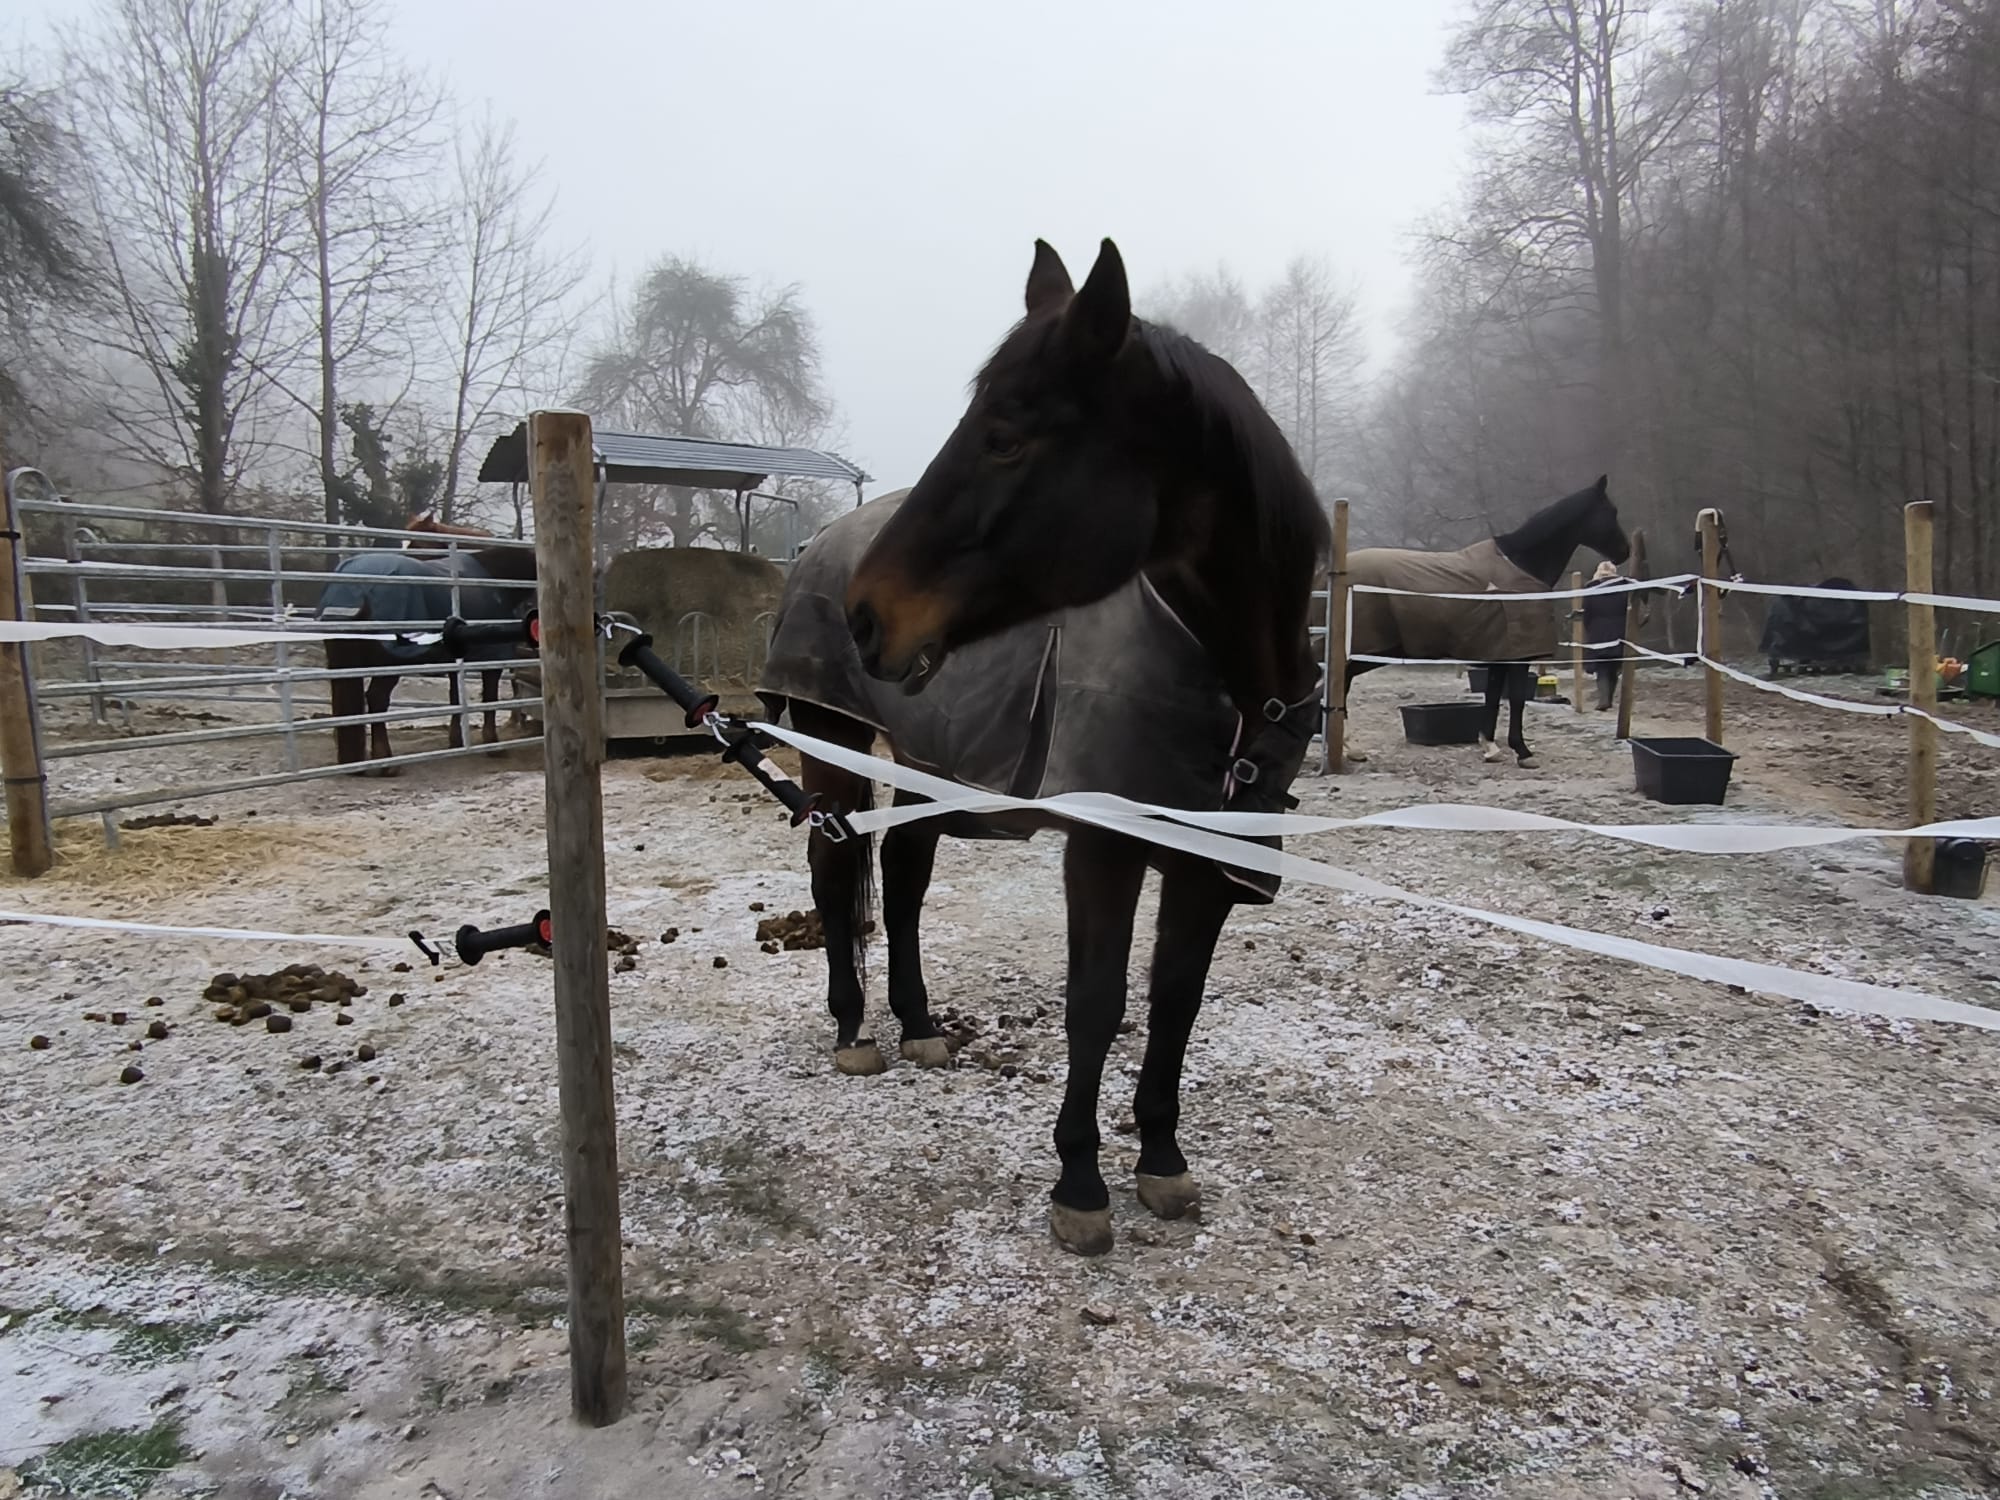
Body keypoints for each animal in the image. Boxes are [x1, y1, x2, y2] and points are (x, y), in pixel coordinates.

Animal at [316, 545, 538, 768]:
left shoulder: (454, 661)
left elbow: (455, 697)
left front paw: (457, 741)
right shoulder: (493, 658)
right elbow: (489, 699)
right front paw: (493, 745)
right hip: (391, 663)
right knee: (377, 698)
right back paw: (385, 761)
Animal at [764, 237, 1328, 1258]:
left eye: (1006, 436)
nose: (868, 616)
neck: (1227, 680)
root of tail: (823, 541)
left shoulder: (1206, 855)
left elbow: (1176, 997)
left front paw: (1162, 1161)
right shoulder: (1104, 844)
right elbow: (1096, 1001)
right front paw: (1080, 1182)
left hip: (928, 759)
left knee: (903, 874)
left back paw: (918, 1023)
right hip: (830, 738)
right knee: (836, 872)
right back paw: (855, 1030)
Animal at [1341, 480, 1630, 767]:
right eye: (1611, 512)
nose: (1625, 552)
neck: (1520, 565)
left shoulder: (1500, 654)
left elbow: (1492, 698)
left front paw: (1490, 747)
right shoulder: (1519, 656)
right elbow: (1516, 700)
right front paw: (1522, 751)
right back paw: (1350, 748)